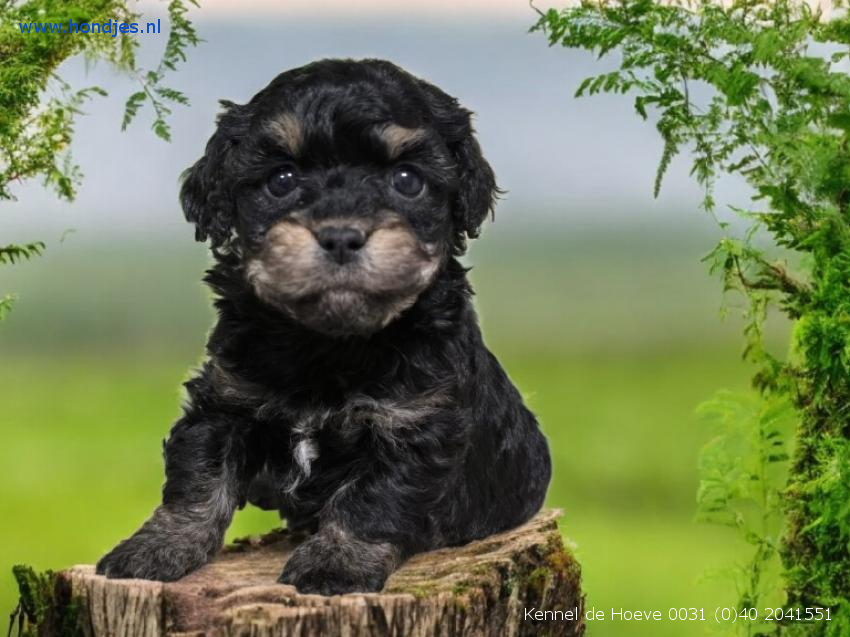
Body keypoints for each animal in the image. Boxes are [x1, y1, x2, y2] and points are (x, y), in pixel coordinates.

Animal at [96, 58, 552, 595]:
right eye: (282, 178)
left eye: (407, 179)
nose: (340, 235)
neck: (327, 343)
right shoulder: (225, 400)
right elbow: (198, 476)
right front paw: (157, 546)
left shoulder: (417, 420)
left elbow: (372, 498)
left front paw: (337, 562)